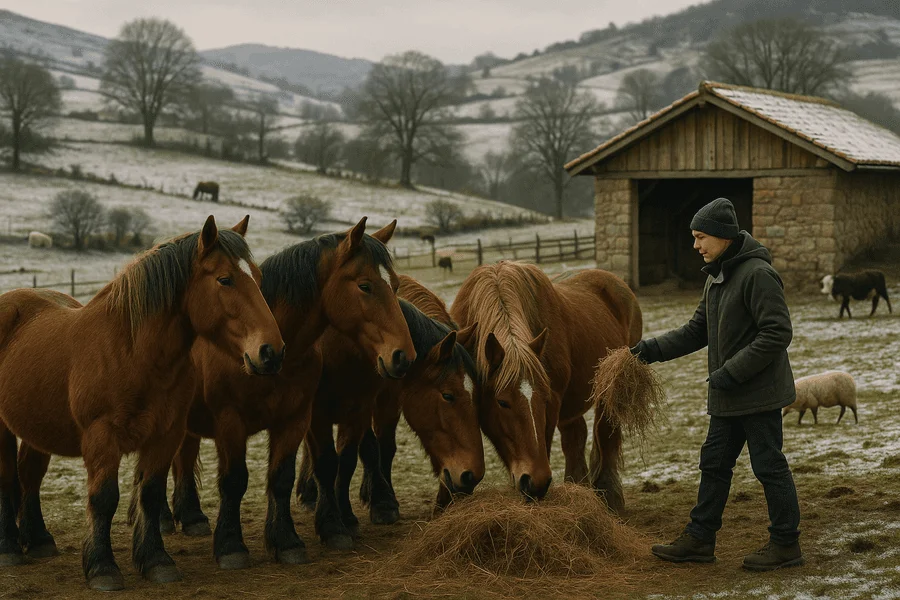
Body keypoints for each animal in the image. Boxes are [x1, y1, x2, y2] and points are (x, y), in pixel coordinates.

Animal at [0, 215, 284, 590]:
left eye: (258, 277)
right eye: (225, 279)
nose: (272, 352)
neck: (132, 352)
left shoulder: (166, 435)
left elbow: (150, 494)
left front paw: (155, 560)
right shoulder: (102, 437)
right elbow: (104, 499)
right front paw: (103, 568)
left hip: (38, 427)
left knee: (30, 475)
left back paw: (39, 541)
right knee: (7, 476)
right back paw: (9, 549)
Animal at [161, 217, 417, 569]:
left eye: (395, 285)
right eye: (365, 285)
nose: (404, 356)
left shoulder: (300, 417)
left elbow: (290, 475)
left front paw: (290, 539)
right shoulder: (232, 422)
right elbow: (235, 480)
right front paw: (231, 546)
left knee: (183, 458)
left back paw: (191, 516)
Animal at [295, 274, 482, 548]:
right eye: (448, 395)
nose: (472, 475)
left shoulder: (388, 401)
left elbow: (383, 447)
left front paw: (382, 500)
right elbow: (364, 449)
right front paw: (378, 501)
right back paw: (310, 492)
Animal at [450, 261, 643, 512]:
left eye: (545, 398)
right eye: (502, 402)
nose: (536, 481)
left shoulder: (554, 405)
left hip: (609, 391)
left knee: (605, 435)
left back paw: (609, 496)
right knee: (575, 437)